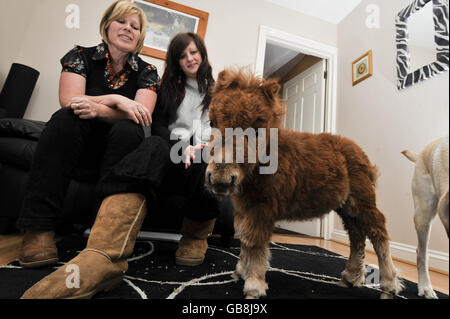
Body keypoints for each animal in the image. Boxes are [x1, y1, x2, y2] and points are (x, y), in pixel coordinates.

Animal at [206, 68, 402, 300]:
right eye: (211, 123)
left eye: (256, 129)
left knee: (377, 229)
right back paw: (350, 278)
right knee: (357, 235)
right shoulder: (245, 208)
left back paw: (389, 286)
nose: (220, 180)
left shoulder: (263, 208)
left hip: (361, 199)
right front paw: (240, 272)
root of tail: (360, 153)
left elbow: (255, 240)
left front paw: (253, 285)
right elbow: (244, 239)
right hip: (346, 207)